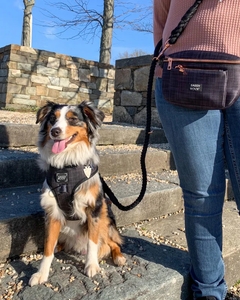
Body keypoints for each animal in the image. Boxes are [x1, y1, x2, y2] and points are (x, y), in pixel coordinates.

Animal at [28, 101, 125, 286]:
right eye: (52, 119)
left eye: (72, 119)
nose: (54, 131)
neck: (67, 165)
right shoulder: (52, 212)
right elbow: (48, 246)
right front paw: (41, 273)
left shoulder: (94, 209)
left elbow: (92, 242)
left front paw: (92, 265)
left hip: (104, 220)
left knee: (112, 243)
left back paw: (119, 258)